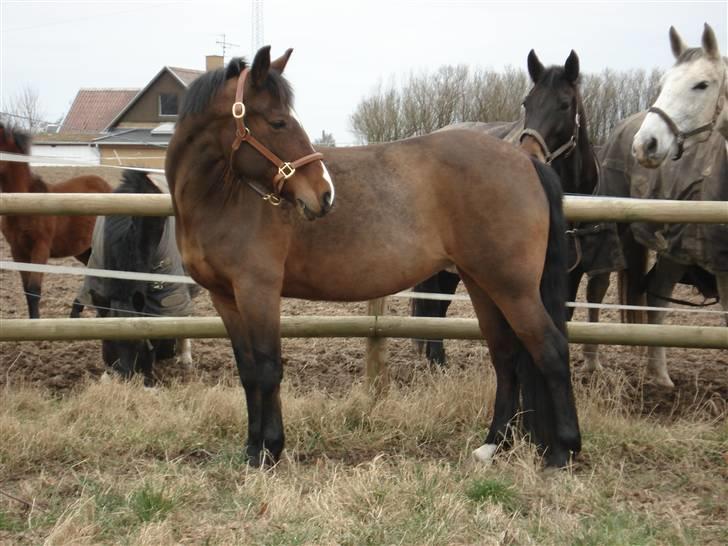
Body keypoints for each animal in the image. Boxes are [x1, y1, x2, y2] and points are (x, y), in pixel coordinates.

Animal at [168, 46, 584, 466]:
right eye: (278, 122)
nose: (324, 194)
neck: (223, 199)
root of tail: (526, 160)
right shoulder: (226, 298)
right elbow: (249, 371)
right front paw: (253, 448)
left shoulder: (258, 291)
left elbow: (268, 368)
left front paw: (270, 449)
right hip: (482, 282)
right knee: (506, 354)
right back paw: (493, 444)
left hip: (513, 287)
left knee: (550, 349)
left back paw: (562, 450)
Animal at [410, 51, 608, 368]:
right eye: (528, 102)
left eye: (565, 104)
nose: (528, 153)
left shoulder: (571, 271)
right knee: (432, 305)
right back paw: (436, 359)